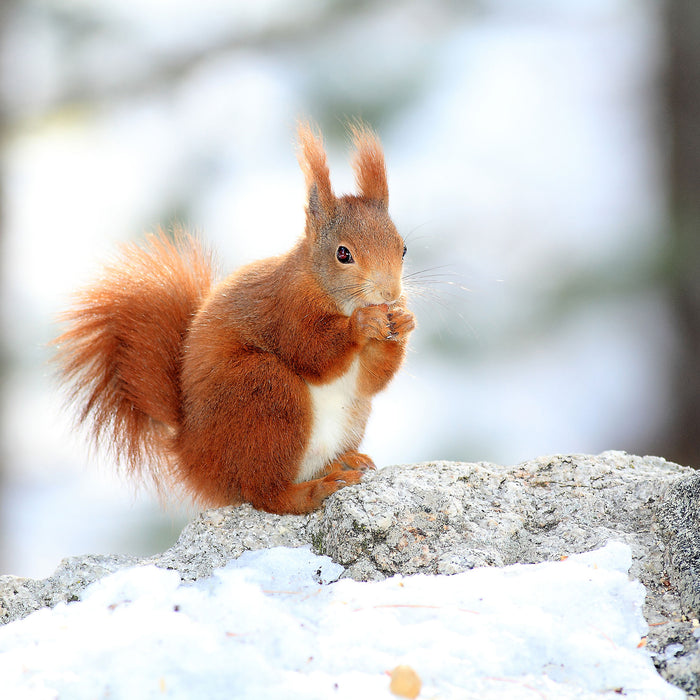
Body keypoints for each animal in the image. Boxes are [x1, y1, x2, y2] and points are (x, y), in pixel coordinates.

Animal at [56, 121, 416, 516]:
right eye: (343, 254)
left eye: (403, 248)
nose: (390, 294)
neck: (330, 293)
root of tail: (192, 456)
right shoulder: (287, 309)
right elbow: (312, 353)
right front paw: (362, 324)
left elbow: (371, 380)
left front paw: (404, 322)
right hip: (263, 392)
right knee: (266, 493)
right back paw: (315, 490)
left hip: (348, 414)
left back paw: (343, 462)